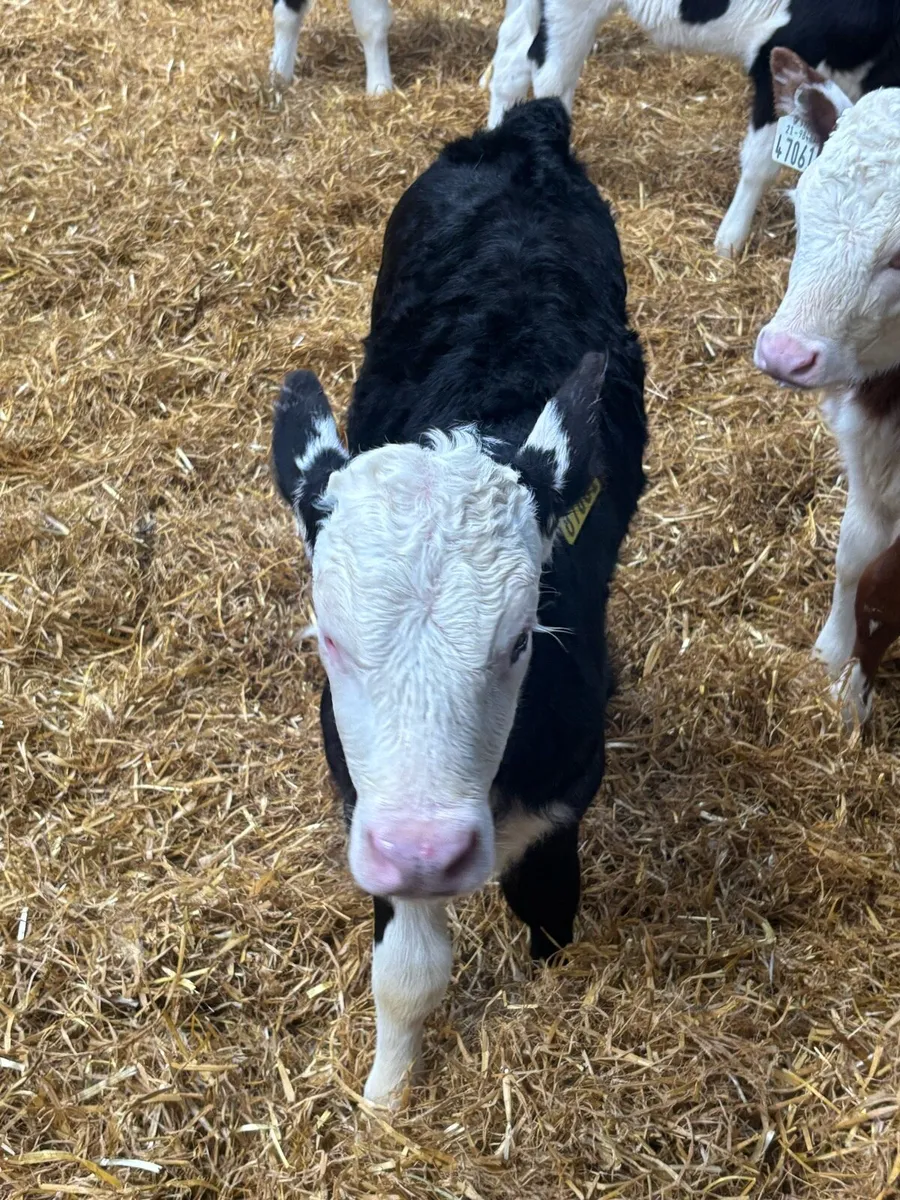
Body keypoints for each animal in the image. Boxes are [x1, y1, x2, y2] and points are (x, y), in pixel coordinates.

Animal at [271, 99, 647, 1107]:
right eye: (329, 640)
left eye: (521, 641)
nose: (425, 853)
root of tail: (525, 133)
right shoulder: (368, 798)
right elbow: (407, 972)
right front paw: (384, 1101)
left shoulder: (566, 790)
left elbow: (549, 915)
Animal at [485, 0, 900, 257]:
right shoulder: (784, 50)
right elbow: (761, 164)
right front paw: (730, 241)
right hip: (570, 13)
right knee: (550, 78)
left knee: (511, 65)